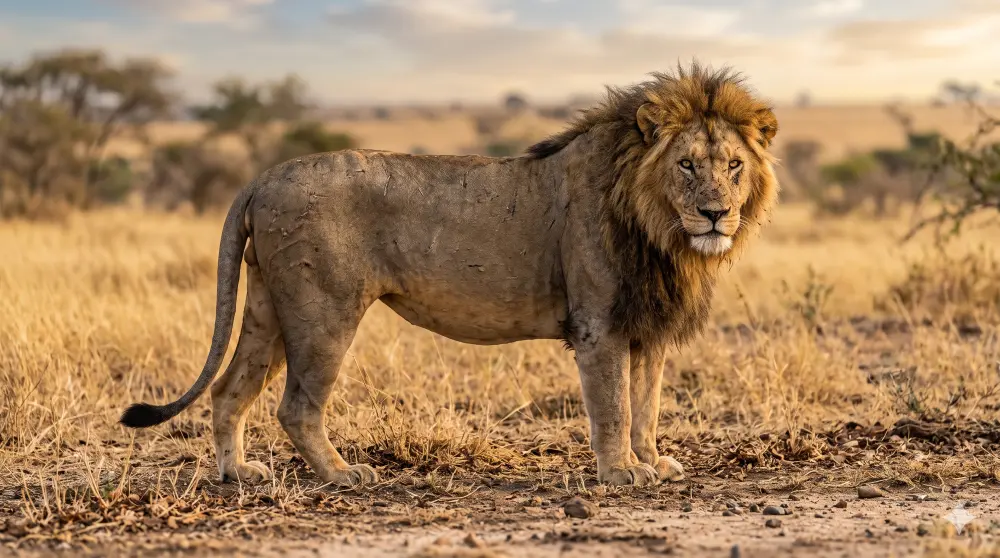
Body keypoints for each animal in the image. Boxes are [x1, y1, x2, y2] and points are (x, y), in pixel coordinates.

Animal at [119, 63, 780, 488]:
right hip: (323, 310)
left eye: (734, 166)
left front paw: (653, 462)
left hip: (266, 308)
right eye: (687, 165)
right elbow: (614, 407)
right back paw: (343, 475)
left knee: (230, 389)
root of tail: (263, 175)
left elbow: (647, 405)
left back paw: (237, 473)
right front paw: (621, 473)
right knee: (297, 406)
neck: (660, 231)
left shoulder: (645, 329)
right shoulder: (601, 328)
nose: (716, 213)